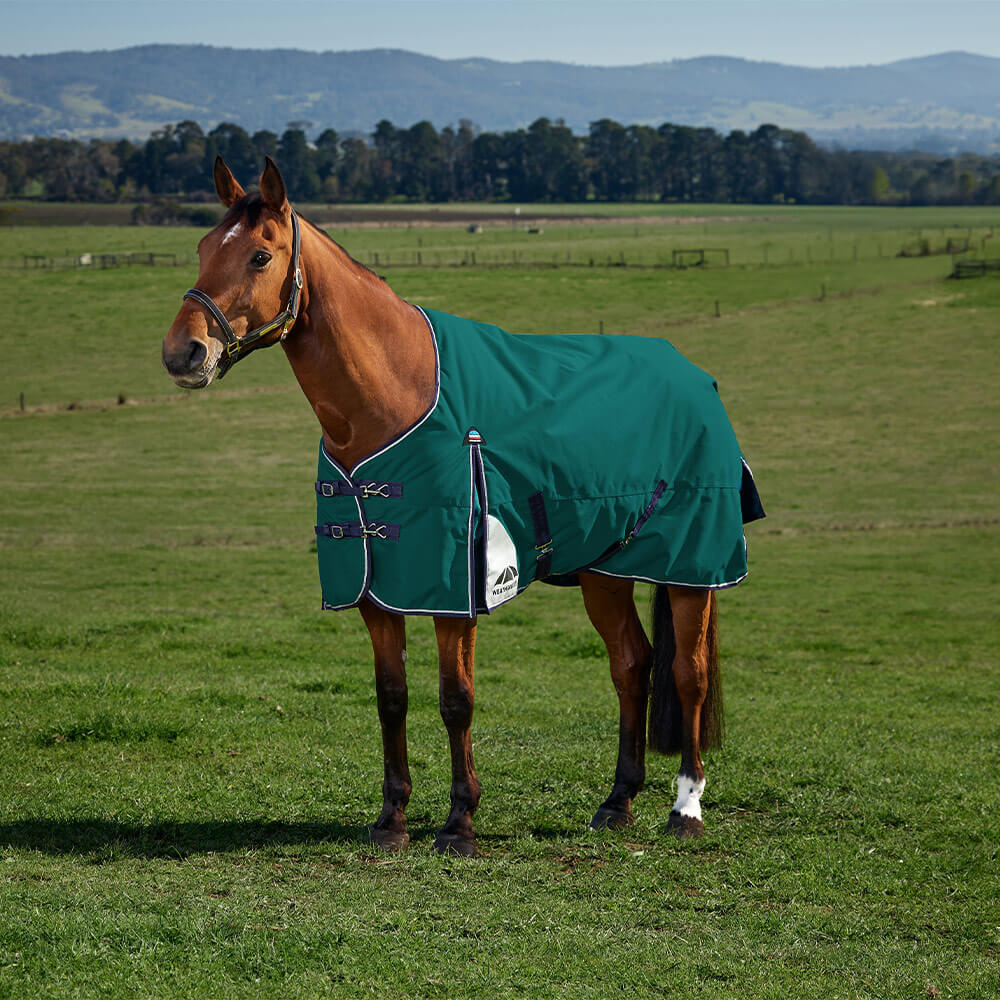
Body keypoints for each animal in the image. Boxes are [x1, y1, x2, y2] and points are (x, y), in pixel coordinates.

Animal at [162, 157, 762, 856]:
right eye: (204, 248)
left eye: (260, 256)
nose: (183, 353)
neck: (394, 398)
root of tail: (696, 377)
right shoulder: (377, 593)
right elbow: (390, 697)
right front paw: (391, 819)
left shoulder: (454, 594)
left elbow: (456, 699)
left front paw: (459, 822)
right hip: (605, 570)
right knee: (631, 664)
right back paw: (617, 802)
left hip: (691, 568)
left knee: (688, 674)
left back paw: (686, 807)